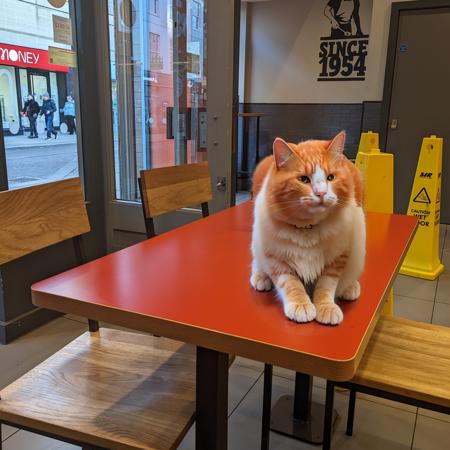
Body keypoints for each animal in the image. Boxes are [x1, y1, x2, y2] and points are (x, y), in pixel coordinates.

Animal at [250, 132, 366, 326]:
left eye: (330, 177)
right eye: (303, 179)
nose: (321, 193)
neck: (308, 227)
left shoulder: (337, 259)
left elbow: (326, 286)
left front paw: (326, 307)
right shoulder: (277, 259)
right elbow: (291, 285)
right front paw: (300, 305)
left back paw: (350, 286)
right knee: (256, 262)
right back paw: (261, 277)